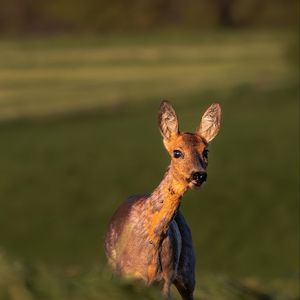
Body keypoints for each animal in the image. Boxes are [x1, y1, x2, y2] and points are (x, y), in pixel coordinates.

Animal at [104, 99, 221, 298]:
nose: (199, 175)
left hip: (188, 269)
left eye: (206, 152)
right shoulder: (124, 274)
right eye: (177, 152)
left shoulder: (165, 278)